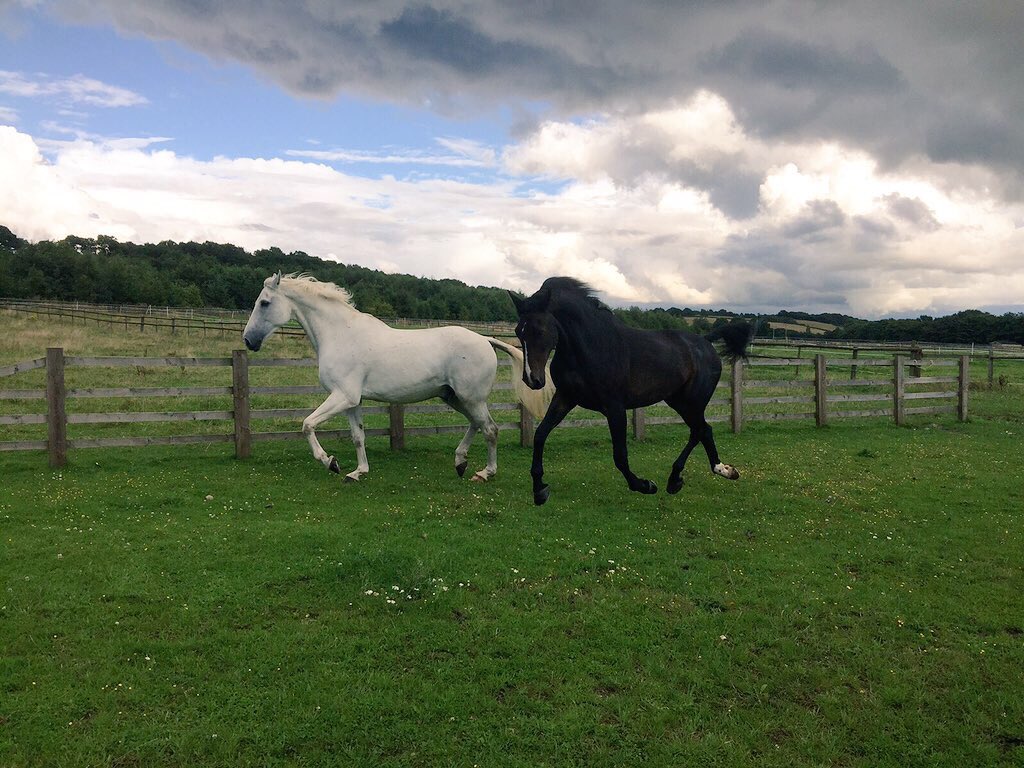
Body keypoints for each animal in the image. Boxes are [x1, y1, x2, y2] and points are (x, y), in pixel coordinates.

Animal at [242, 273, 550, 482]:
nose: (248, 341)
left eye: (265, 303)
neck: (341, 334)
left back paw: (485, 472)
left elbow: (307, 424)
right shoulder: (352, 402)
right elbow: (357, 436)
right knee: (477, 424)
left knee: (490, 429)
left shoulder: (342, 397)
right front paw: (357, 472)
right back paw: (460, 462)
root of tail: (486, 340)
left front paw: (330, 462)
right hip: (454, 397)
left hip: (471, 398)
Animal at [510, 277, 752, 505]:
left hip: (692, 401)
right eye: (518, 331)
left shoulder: (614, 407)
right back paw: (711, 473)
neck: (591, 347)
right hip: (679, 401)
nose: (532, 379)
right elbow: (540, 434)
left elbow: (620, 455)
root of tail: (705, 341)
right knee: (703, 431)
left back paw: (688, 477)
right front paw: (539, 490)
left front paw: (645, 485)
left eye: (539, 330)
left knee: (700, 430)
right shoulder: (565, 397)